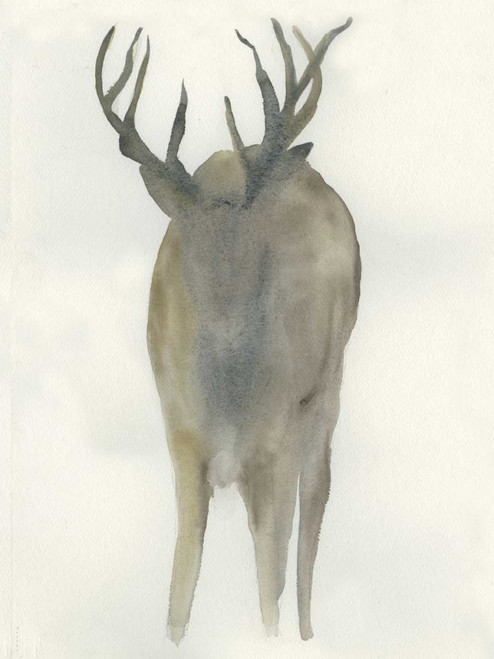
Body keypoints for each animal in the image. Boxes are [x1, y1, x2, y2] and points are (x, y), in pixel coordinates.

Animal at [95, 16, 360, 644]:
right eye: (184, 242)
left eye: (255, 229)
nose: (225, 321)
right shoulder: (181, 439)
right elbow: (179, 588)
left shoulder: (275, 441)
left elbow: (270, 580)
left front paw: (275, 637)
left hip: (327, 386)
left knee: (314, 505)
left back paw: (310, 633)